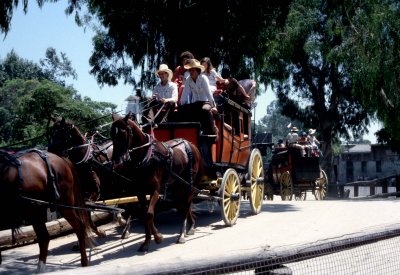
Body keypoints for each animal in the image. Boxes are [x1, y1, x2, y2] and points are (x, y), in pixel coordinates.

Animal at [109, 113, 203, 253]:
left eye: (123, 133)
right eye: (111, 134)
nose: (116, 161)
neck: (145, 156)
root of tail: (192, 145)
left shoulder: (154, 190)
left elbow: (149, 214)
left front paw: (158, 237)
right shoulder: (140, 191)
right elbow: (144, 215)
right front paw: (147, 241)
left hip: (189, 183)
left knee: (186, 205)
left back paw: (182, 234)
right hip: (177, 185)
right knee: (183, 205)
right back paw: (190, 225)